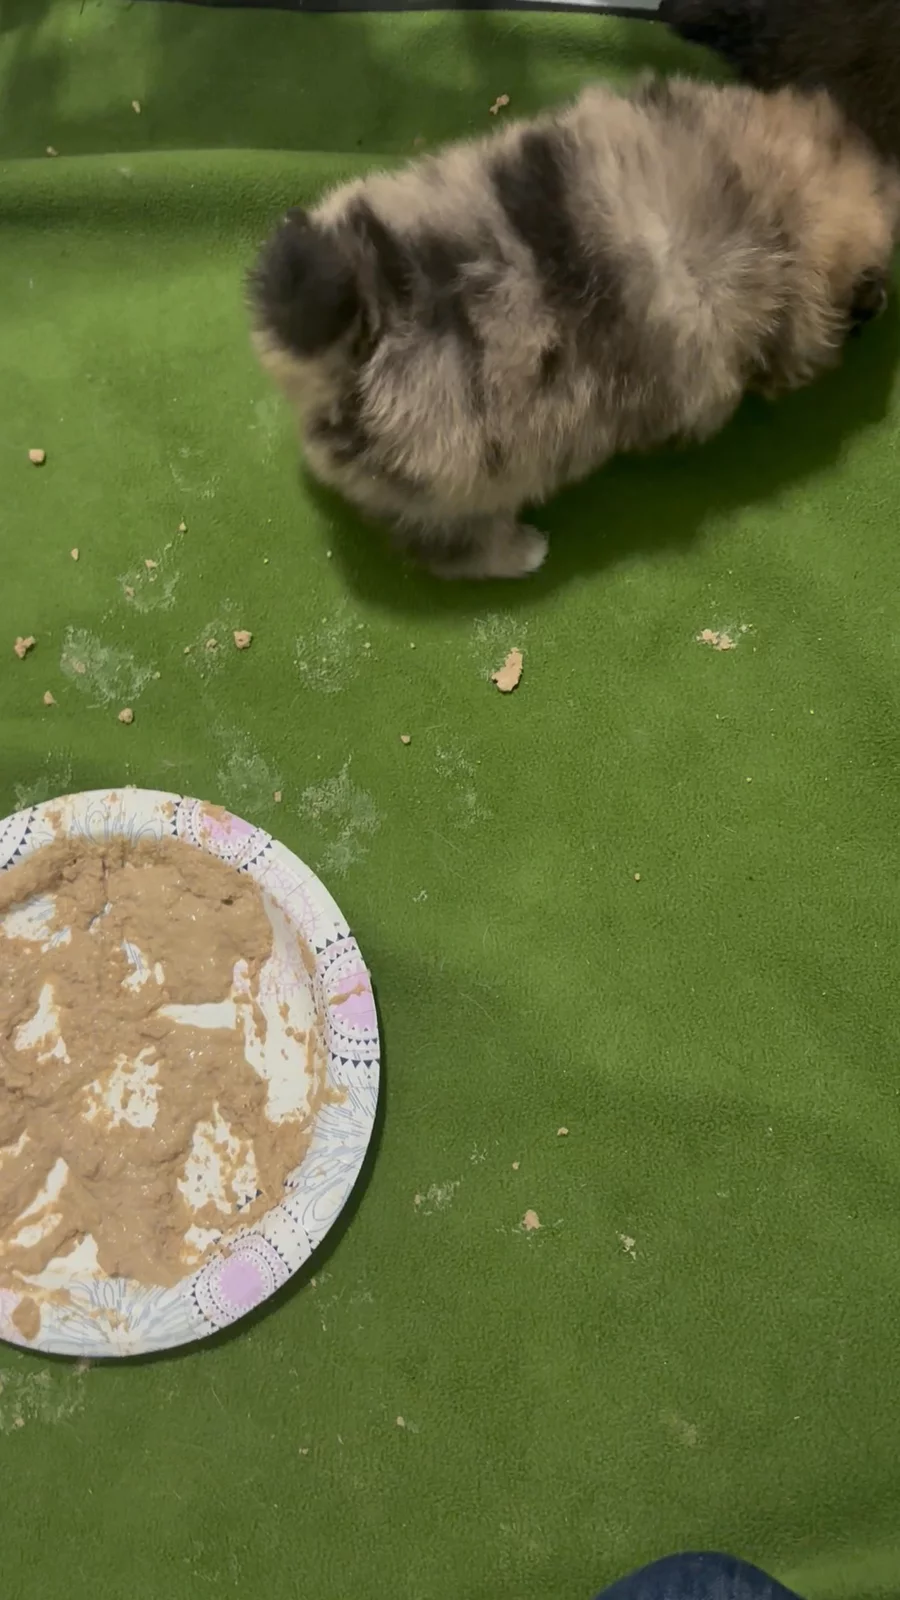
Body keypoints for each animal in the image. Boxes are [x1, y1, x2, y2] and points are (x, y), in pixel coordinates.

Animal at [249, 75, 899, 580]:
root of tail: (352, 344)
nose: (880, 304)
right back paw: (522, 553)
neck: (772, 200)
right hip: (457, 492)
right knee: (447, 547)